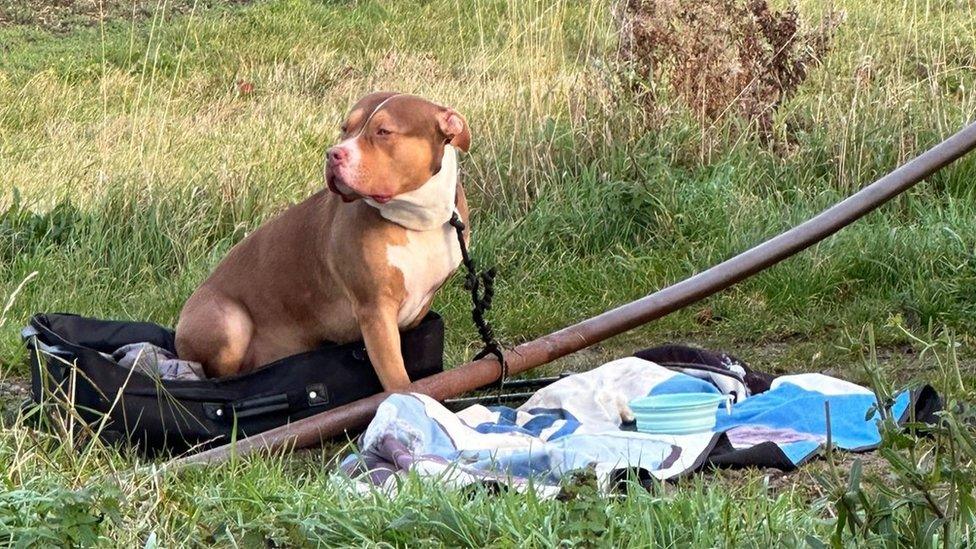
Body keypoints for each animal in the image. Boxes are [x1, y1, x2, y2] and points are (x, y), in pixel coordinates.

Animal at [177, 93, 470, 390]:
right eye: (345, 128)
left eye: (384, 132)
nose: (333, 154)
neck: (417, 220)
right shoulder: (375, 310)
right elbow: (398, 380)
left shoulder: (417, 310)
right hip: (228, 321)